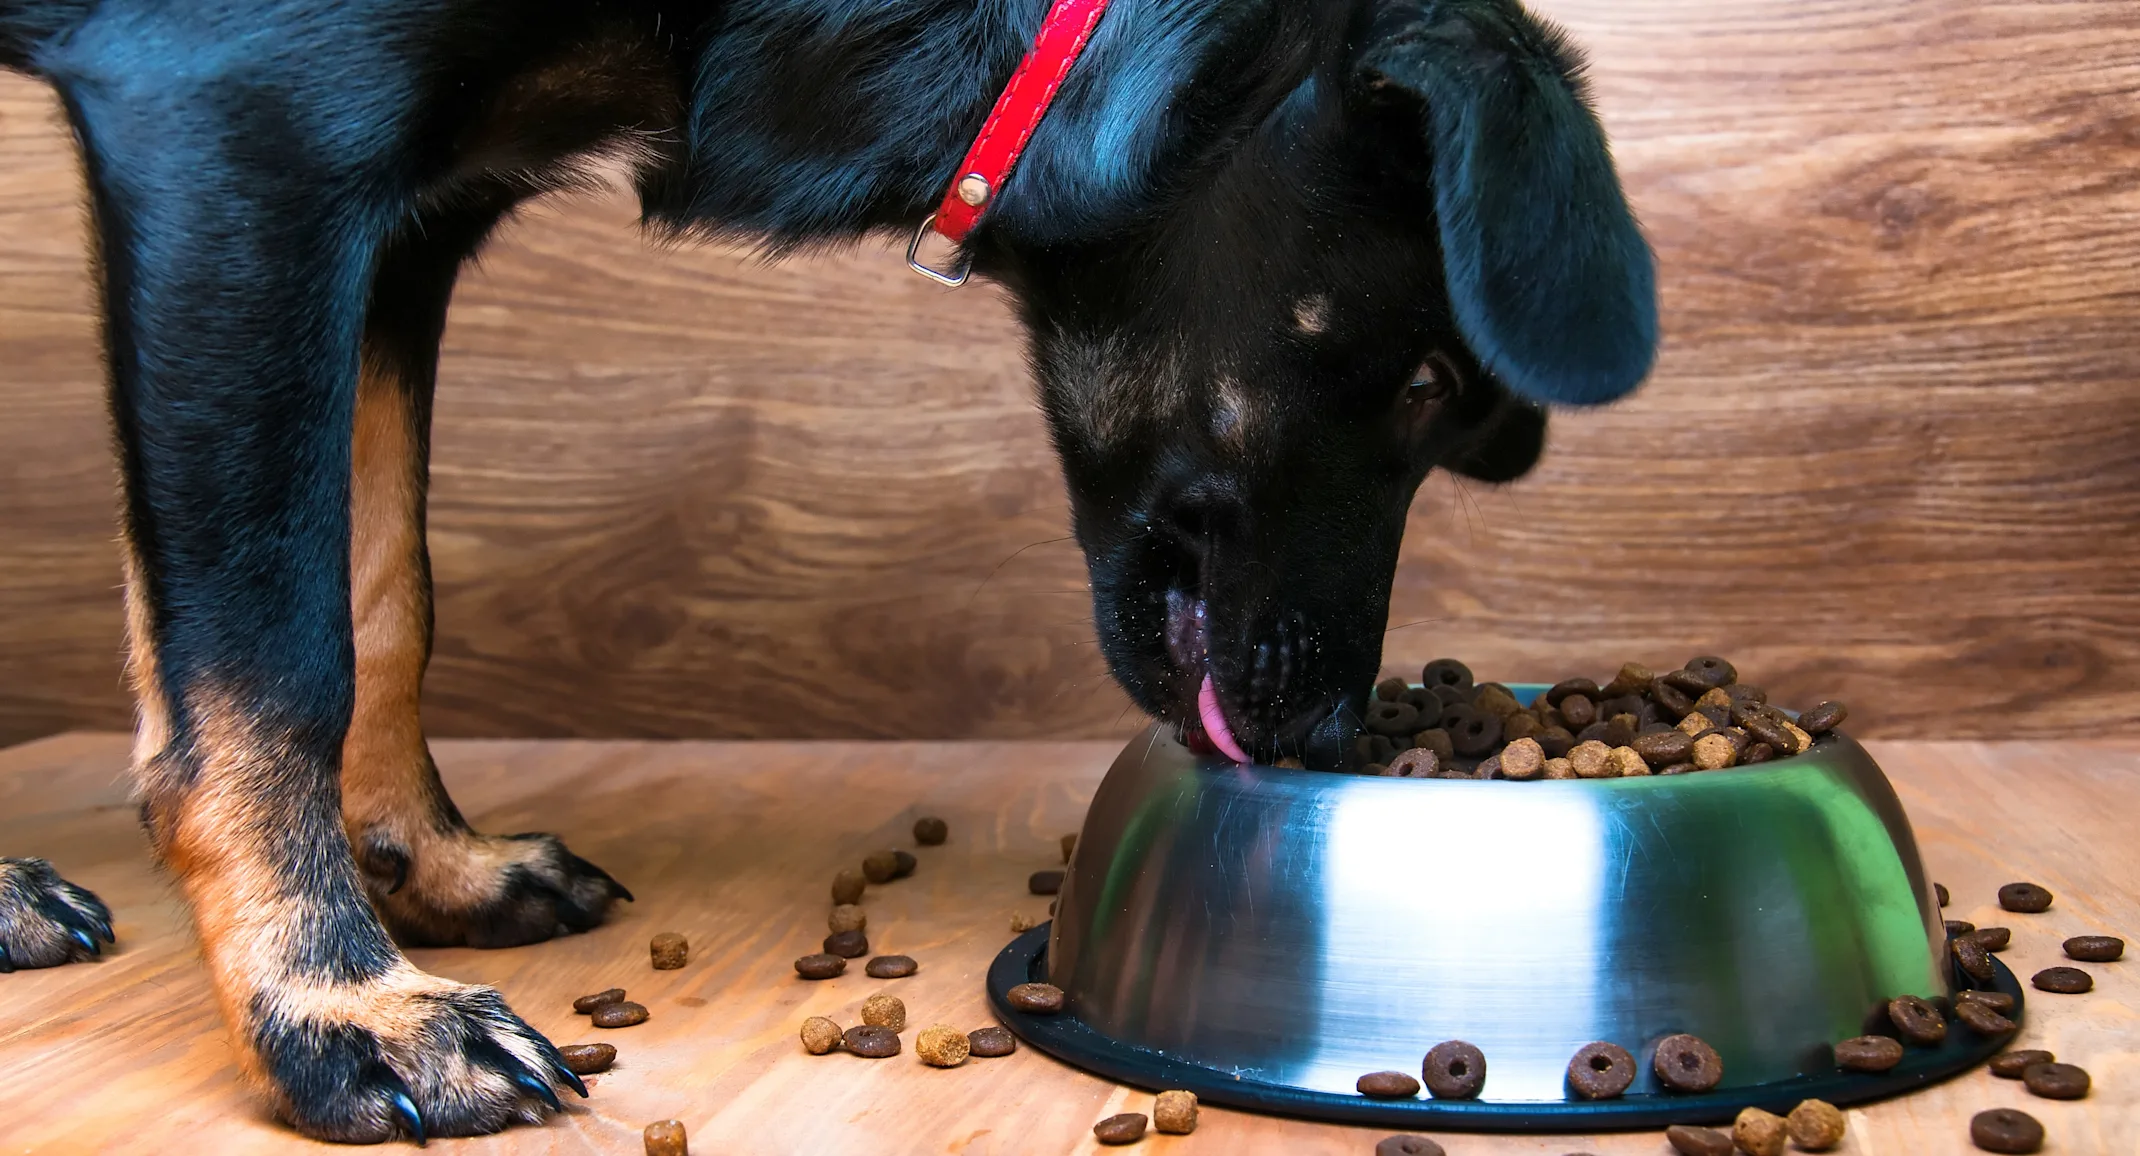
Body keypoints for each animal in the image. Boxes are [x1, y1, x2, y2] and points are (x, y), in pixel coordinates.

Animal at [0, 0, 1652, 1138]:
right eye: (1432, 382)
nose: (1328, 737)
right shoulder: (249, 135)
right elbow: (275, 650)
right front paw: (337, 1003)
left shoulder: (406, 220)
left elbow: (386, 588)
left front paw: (425, 858)